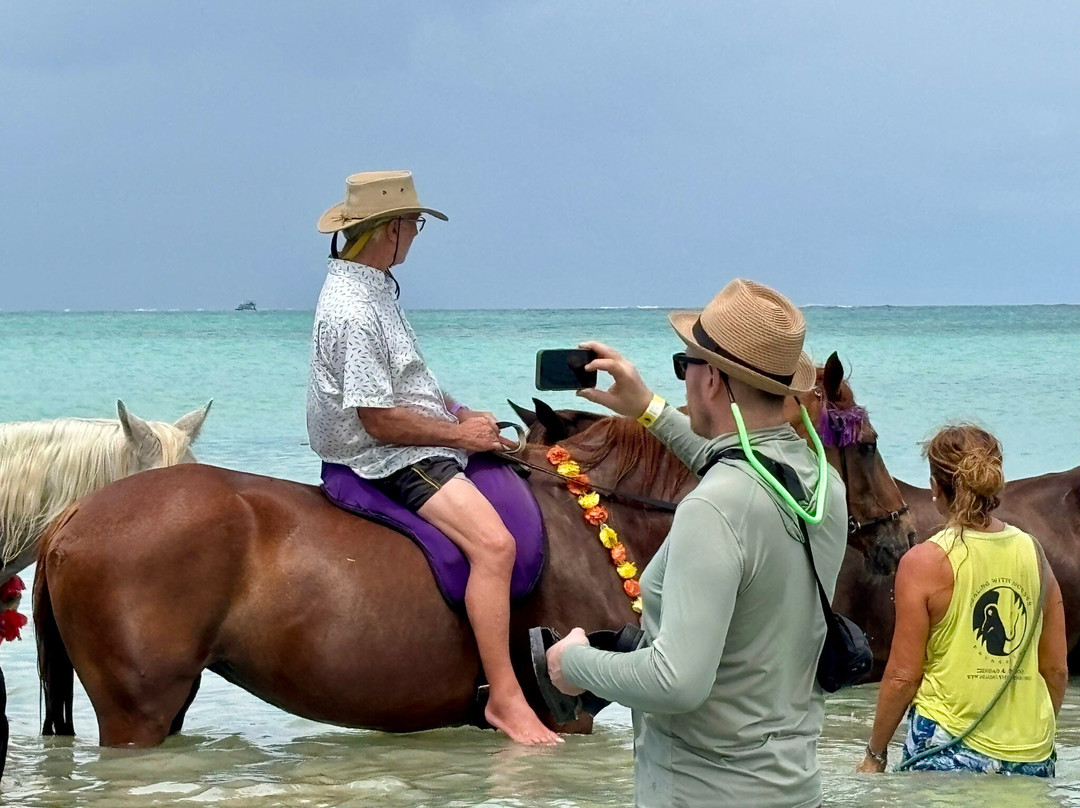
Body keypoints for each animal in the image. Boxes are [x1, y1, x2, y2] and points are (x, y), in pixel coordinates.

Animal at [33, 359, 912, 749]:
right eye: (865, 441)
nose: (905, 534)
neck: (591, 517)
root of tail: (76, 512)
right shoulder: (574, 707)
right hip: (141, 712)